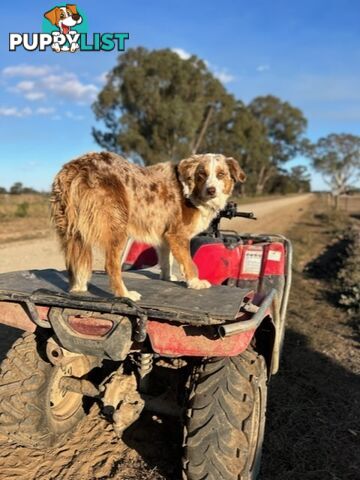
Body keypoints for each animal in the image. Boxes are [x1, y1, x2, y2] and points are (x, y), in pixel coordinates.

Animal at [50, 152, 246, 300]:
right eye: (202, 175)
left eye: (221, 174)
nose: (211, 190)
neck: (191, 191)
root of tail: (76, 167)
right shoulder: (178, 235)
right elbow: (190, 263)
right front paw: (195, 282)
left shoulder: (166, 237)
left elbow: (167, 260)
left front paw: (168, 277)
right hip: (118, 227)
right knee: (111, 266)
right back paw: (125, 294)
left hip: (71, 231)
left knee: (75, 261)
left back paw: (78, 287)